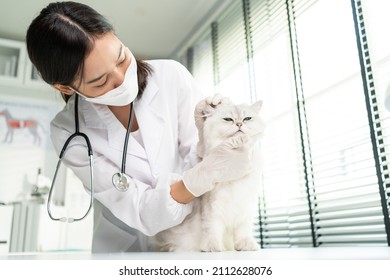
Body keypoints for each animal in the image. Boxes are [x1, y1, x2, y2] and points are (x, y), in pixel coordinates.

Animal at [154, 100, 264, 252]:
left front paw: (246, 245)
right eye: (228, 119)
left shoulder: (246, 207)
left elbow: (243, 231)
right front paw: (213, 247)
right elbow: (212, 228)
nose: (239, 124)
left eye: (247, 118)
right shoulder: (212, 206)